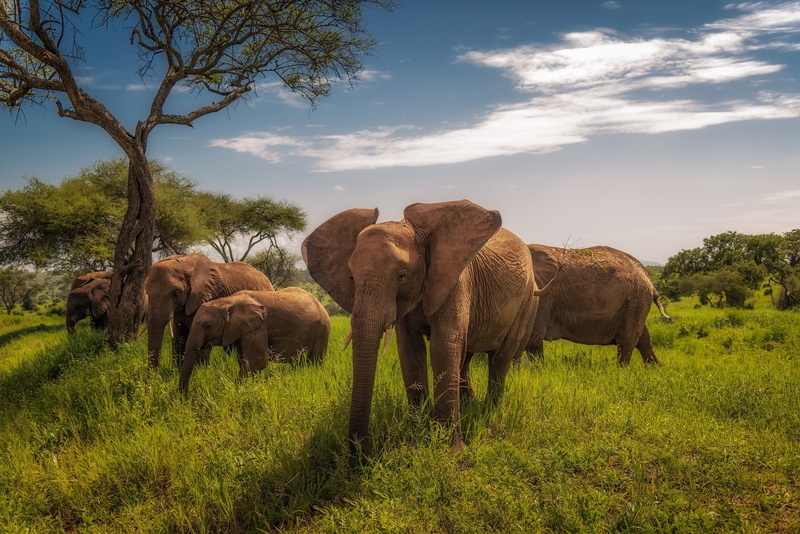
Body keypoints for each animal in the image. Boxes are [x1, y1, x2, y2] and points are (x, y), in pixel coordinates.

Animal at [144, 253, 274, 368]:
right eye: (147, 293)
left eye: (176, 293)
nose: (154, 373)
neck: (185, 264)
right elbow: (179, 337)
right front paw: (176, 371)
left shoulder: (207, 298)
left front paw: (199, 372)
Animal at [179, 287, 330, 394]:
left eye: (207, 325)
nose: (184, 396)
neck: (228, 301)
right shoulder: (242, 329)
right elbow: (244, 360)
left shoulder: (258, 325)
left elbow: (257, 360)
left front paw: (234, 391)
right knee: (298, 363)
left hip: (322, 329)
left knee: (314, 361)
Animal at [303, 199, 546, 454]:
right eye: (351, 277)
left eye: (402, 275)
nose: (360, 453)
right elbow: (410, 350)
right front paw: (416, 434)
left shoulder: (456, 281)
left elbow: (443, 346)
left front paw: (451, 450)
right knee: (465, 357)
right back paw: (469, 406)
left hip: (528, 301)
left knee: (500, 357)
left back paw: (489, 410)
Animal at [527, 244, 673, 365]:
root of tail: (648, 278)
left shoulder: (544, 294)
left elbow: (533, 337)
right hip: (637, 301)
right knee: (643, 338)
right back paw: (656, 369)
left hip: (636, 298)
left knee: (627, 339)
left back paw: (622, 372)